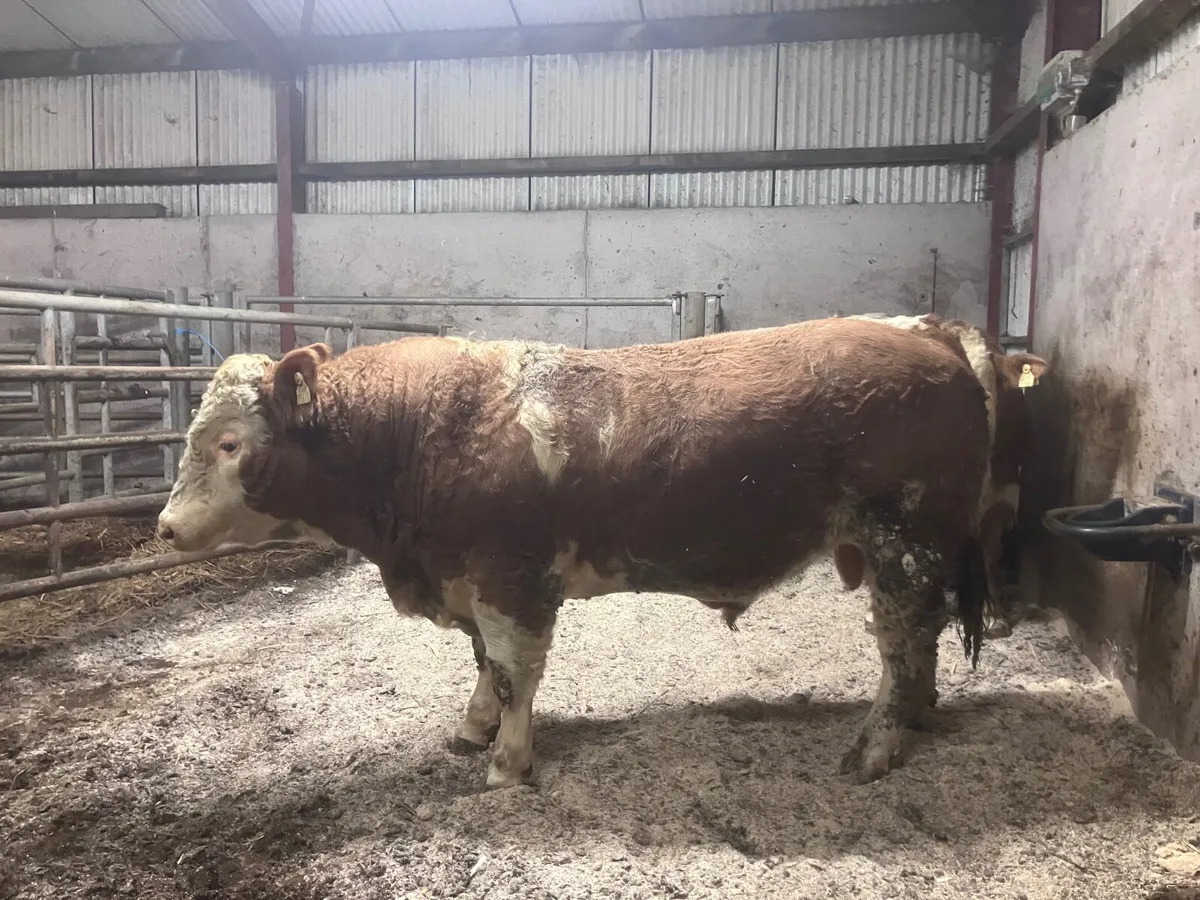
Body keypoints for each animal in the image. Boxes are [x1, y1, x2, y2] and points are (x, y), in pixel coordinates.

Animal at [157, 317, 996, 788]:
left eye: (229, 443)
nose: (164, 527)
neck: (418, 431)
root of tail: (925, 334)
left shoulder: (511, 578)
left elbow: (515, 672)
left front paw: (507, 762)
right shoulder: (470, 580)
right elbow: (483, 667)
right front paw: (474, 729)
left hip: (904, 546)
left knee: (903, 644)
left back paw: (877, 747)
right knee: (917, 646)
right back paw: (915, 722)